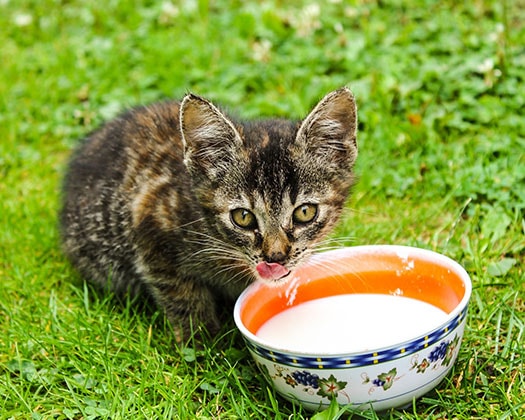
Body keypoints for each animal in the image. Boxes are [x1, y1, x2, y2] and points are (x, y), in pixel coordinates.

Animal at [59, 87, 358, 340]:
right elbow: (182, 295)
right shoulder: (150, 225)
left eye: (305, 212)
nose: (275, 257)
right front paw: (204, 343)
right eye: (243, 217)